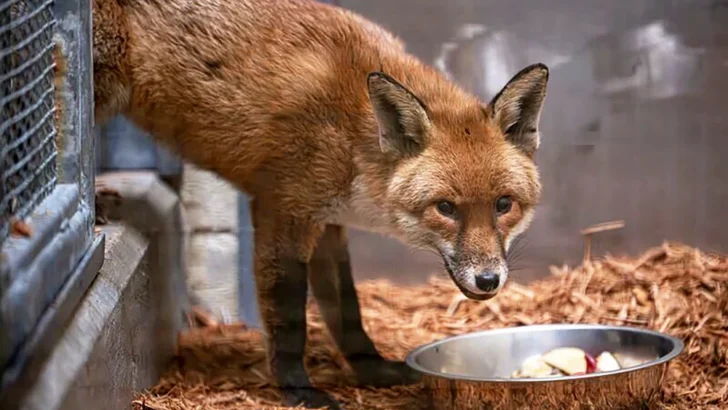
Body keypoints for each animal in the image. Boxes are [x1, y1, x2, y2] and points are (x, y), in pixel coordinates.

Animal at [91, 0, 548, 408]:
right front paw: (298, 391)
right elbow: (289, 317)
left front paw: (373, 370)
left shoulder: (329, 223)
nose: (488, 280)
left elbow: (347, 311)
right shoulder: (283, 210)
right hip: (102, 85)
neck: (353, 135)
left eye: (503, 204)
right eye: (446, 208)